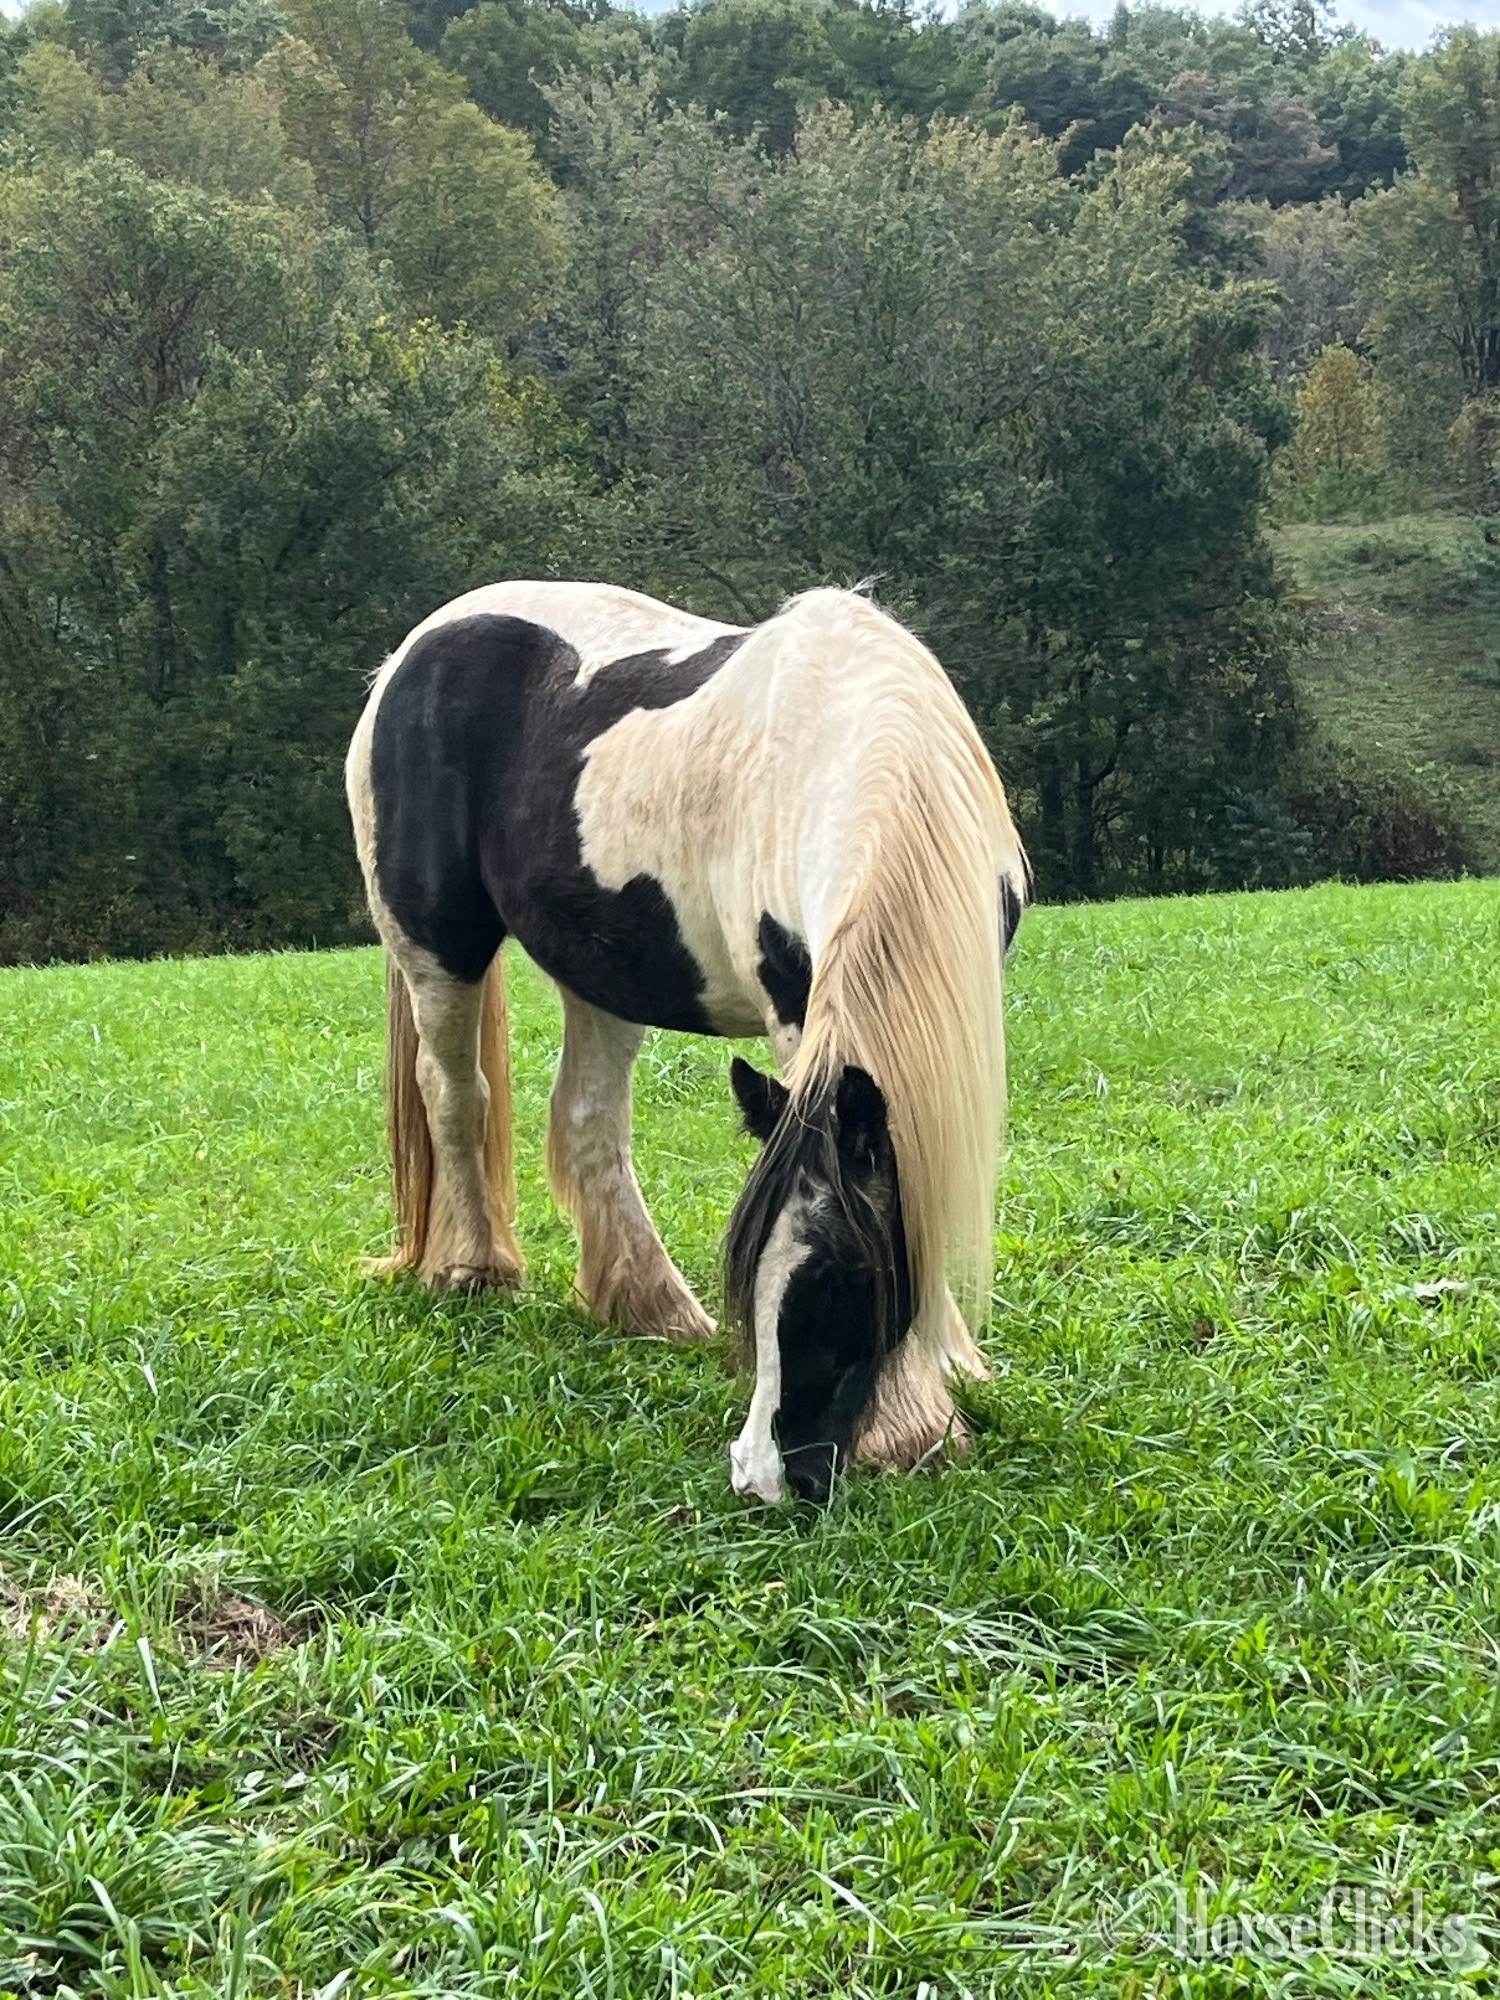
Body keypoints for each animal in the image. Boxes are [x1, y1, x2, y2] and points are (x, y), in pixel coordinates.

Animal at [346, 582, 1028, 1503]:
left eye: (846, 1279)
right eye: (748, 1274)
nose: (763, 1476)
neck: (869, 744)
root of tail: (409, 653)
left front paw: (948, 1370)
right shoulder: (796, 1008)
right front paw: (916, 1417)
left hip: (601, 968)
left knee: (587, 1121)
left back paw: (649, 1305)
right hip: (435, 947)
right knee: (456, 1099)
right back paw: (475, 1272)